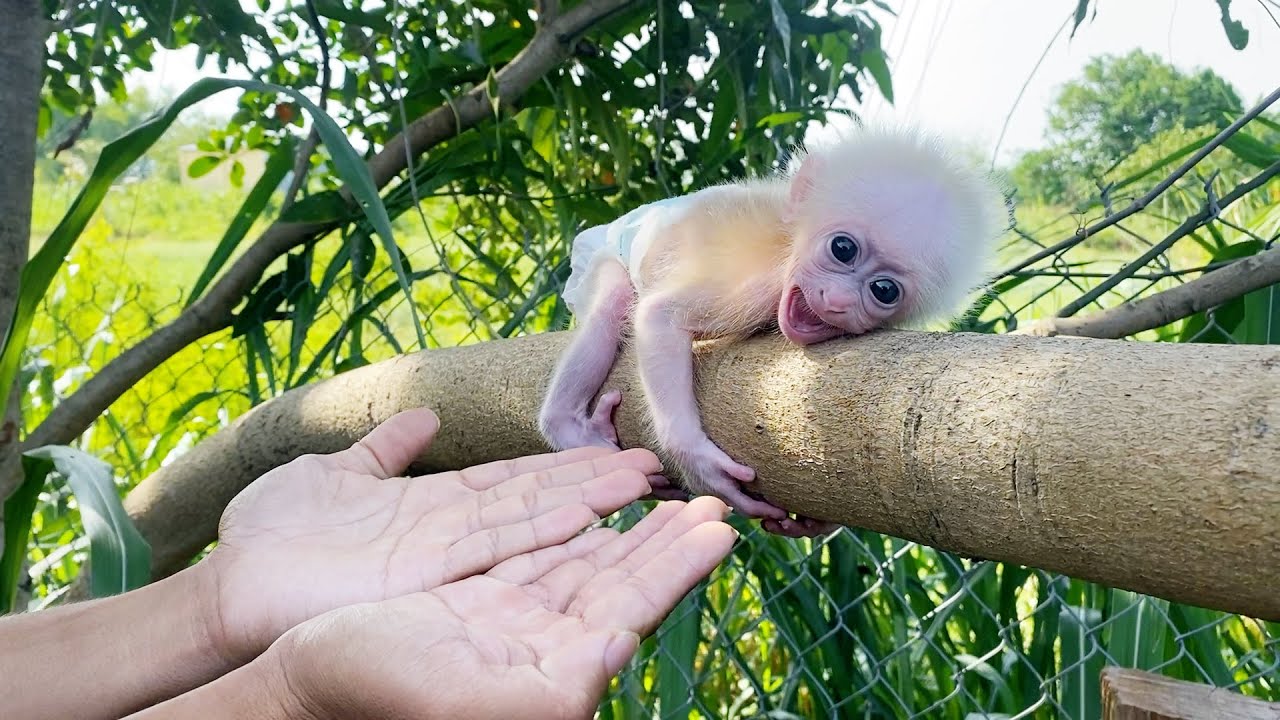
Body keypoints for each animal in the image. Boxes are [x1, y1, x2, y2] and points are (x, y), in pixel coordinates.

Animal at [538, 125, 1009, 537]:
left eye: (884, 290)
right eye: (843, 248)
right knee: (611, 305)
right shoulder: (749, 290)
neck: (788, 245)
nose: (839, 302)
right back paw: (565, 424)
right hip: (598, 258)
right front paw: (697, 460)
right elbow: (658, 315)